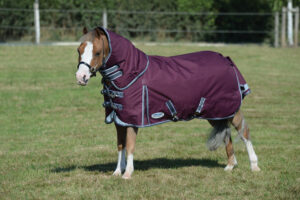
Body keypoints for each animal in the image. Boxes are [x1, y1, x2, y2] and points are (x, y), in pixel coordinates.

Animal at [75, 27, 260, 180]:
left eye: (98, 52)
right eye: (79, 50)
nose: (81, 77)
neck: (131, 73)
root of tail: (226, 59)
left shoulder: (133, 120)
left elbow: (130, 145)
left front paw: (127, 174)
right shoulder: (119, 120)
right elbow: (121, 146)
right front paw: (116, 172)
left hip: (231, 110)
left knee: (244, 132)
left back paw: (254, 166)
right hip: (216, 112)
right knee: (226, 134)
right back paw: (230, 166)